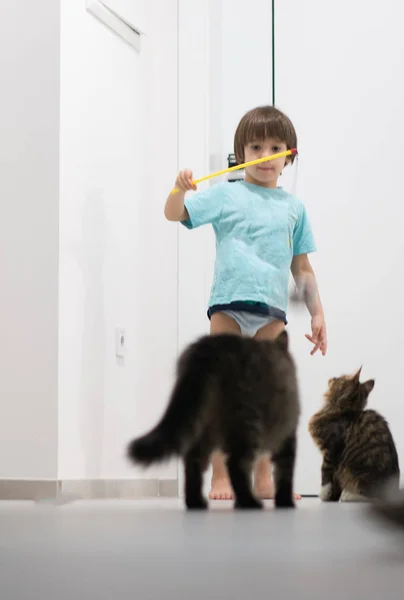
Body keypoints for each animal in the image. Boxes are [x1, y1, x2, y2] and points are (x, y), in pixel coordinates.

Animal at [128, 332, 298, 510]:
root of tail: (209, 348)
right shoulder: (288, 435)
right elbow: (285, 473)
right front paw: (285, 502)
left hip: (203, 425)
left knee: (193, 461)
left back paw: (196, 502)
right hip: (247, 424)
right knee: (235, 464)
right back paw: (248, 502)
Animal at [310, 370, 398, 502]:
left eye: (340, 377)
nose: (333, 377)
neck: (338, 411)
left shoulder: (331, 450)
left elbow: (325, 472)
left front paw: (324, 493)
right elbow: (335, 481)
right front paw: (332, 496)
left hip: (354, 470)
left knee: (372, 497)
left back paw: (348, 495)